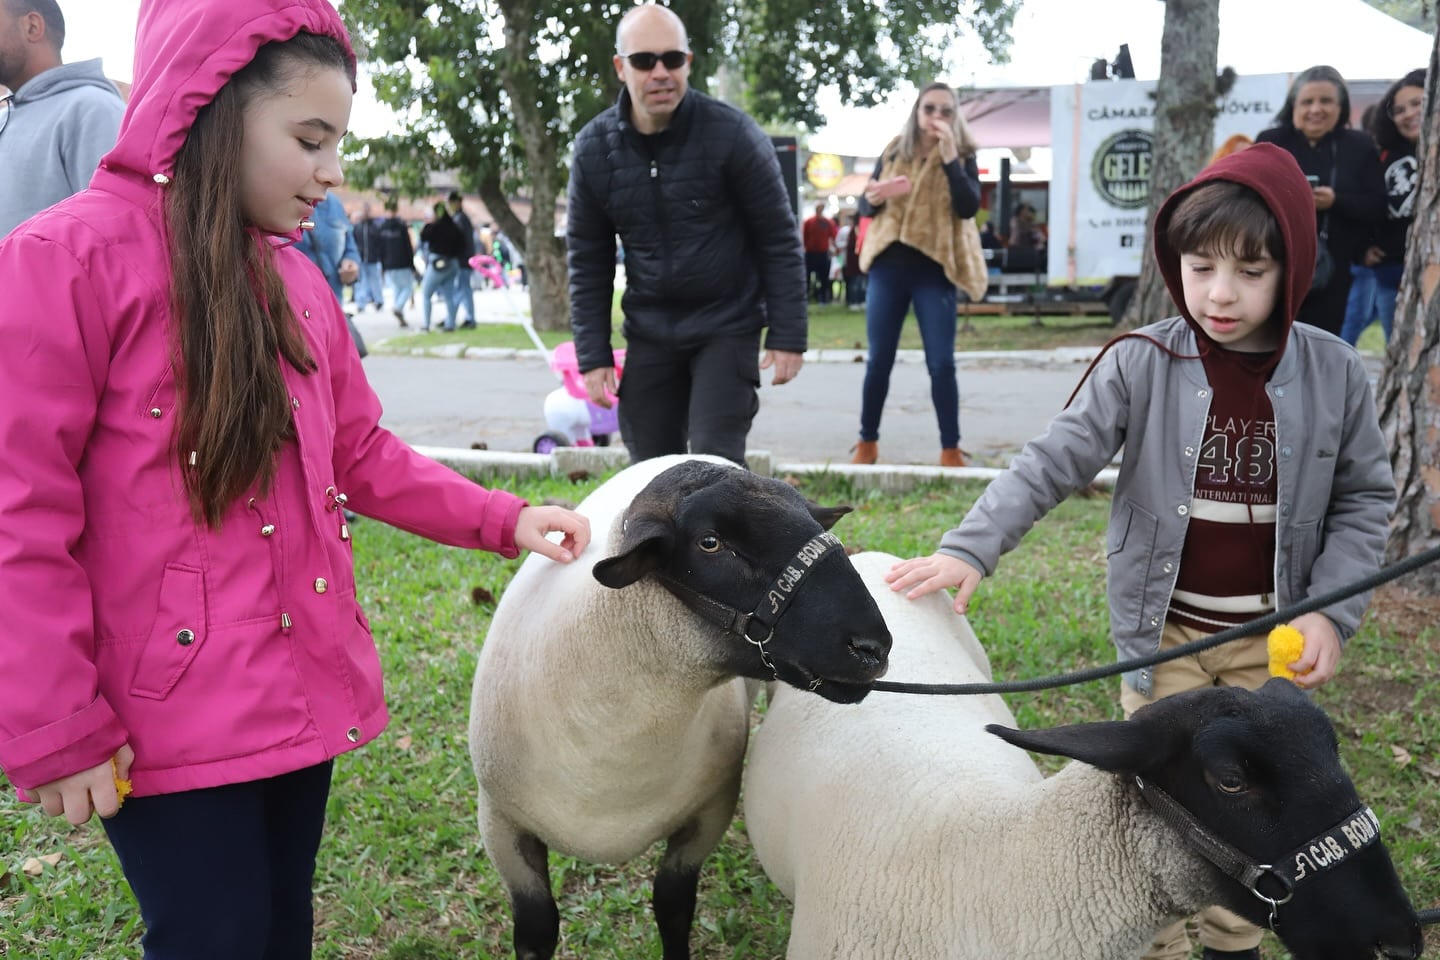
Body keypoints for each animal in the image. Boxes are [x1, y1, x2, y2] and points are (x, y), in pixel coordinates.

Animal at [466, 457, 892, 960]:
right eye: (710, 542)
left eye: (814, 523)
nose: (873, 648)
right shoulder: (501, 824)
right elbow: (537, 928)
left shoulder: (708, 812)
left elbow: (672, 906)